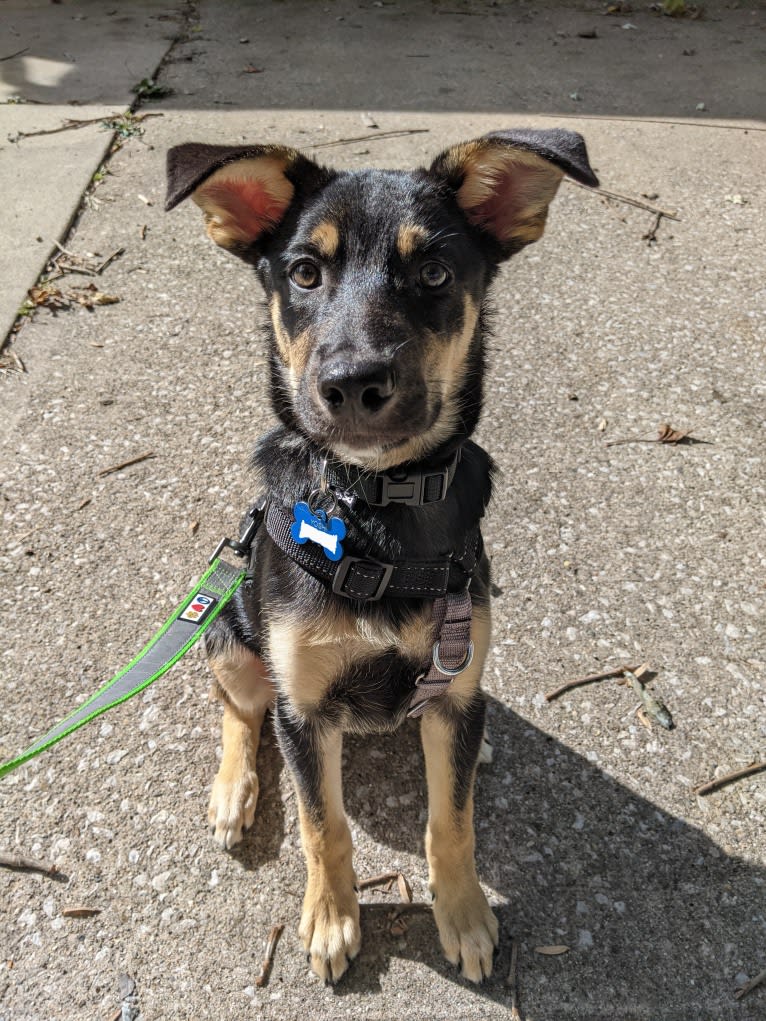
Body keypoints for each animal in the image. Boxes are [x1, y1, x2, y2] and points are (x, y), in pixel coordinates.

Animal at [166, 127, 600, 980]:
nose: (353, 383)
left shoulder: (453, 679)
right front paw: (333, 918)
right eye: (304, 271)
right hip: (228, 628)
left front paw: (462, 915)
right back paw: (233, 791)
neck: (377, 503)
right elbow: (322, 825)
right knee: (238, 706)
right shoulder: (304, 707)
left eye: (432, 271)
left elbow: (451, 821)